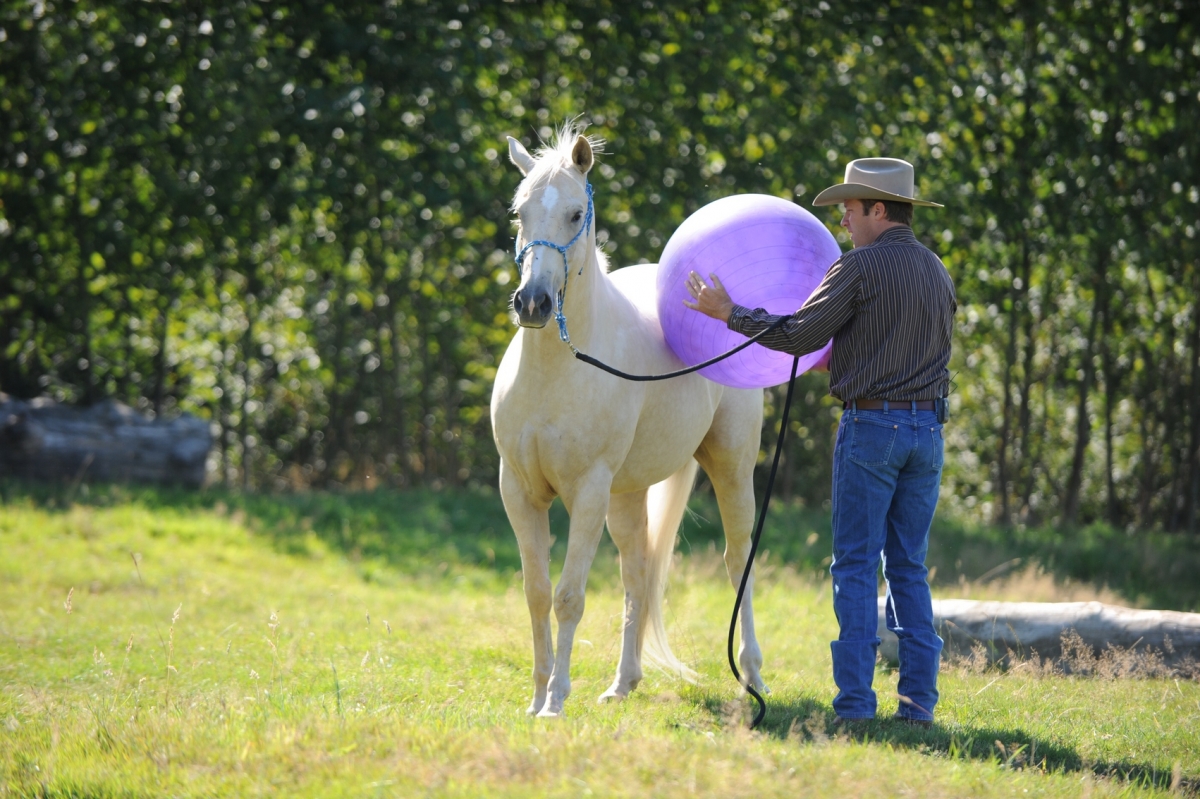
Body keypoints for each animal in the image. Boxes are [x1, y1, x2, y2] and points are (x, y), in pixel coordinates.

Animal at [490, 127, 767, 717]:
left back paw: (752, 676)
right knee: (638, 573)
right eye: (520, 212)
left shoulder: (588, 492)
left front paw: (555, 701)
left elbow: (569, 597)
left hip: (731, 468)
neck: (557, 369)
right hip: (627, 495)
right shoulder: (520, 492)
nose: (533, 304)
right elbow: (537, 593)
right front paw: (536, 697)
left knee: (738, 561)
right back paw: (623, 682)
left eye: (575, 213)